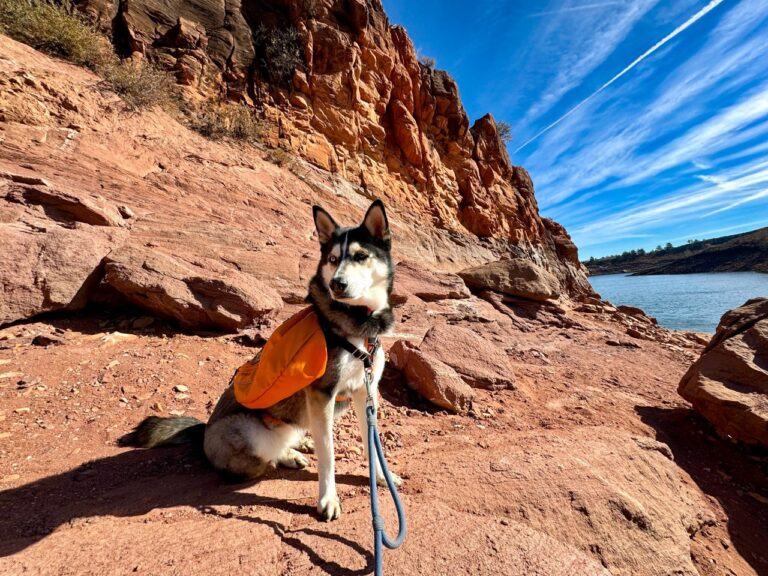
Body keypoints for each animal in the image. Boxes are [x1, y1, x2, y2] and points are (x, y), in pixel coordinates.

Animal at [132, 199, 400, 520]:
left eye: (360, 256)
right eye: (333, 259)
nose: (337, 284)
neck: (360, 323)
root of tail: (204, 431)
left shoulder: (364, 390)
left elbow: (372, 444)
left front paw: (383, 478)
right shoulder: (322, 394)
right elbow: (329, 454)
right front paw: (328, 499)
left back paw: (299, 445)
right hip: (252, 433)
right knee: (265, 456)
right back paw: (287, 455)